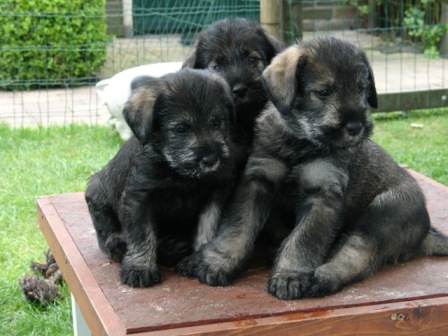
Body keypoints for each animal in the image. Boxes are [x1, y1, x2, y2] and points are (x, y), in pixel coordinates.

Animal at [85, 68, 238, 286]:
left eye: (216, 122)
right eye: (181, 128)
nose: (211, 159)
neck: (179, 173)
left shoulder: (216, 192)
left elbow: (207, 226)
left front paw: (198, 258)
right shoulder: (139, 198)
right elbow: (141, 234)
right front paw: (139, 268)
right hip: (97, 191)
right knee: (104, 232)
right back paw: (117, 243)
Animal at [177, 36, 448, 300]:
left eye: (361, 89)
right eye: (323, 92)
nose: (356, 127)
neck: (301, 141)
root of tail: (426, 232)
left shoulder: (322, 194)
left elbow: (304, 240)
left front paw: (289, 275)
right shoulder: (256, 181)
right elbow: (237, 227)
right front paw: (217, 262)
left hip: (382, 214)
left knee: (358, 256)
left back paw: (322, 278)